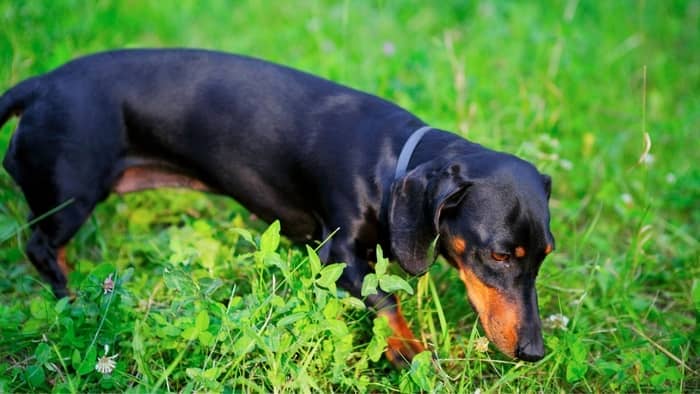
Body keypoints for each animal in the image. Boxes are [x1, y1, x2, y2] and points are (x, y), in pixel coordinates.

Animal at [2, 48, 556, 364]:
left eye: (545, 254)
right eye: (499, 255)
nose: (534, 353)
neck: (392, 159)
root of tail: (41, 84)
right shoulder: (339, 254)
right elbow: (383, 299)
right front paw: (408, 348)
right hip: (70, 196)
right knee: (39, 247)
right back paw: (73, 300)